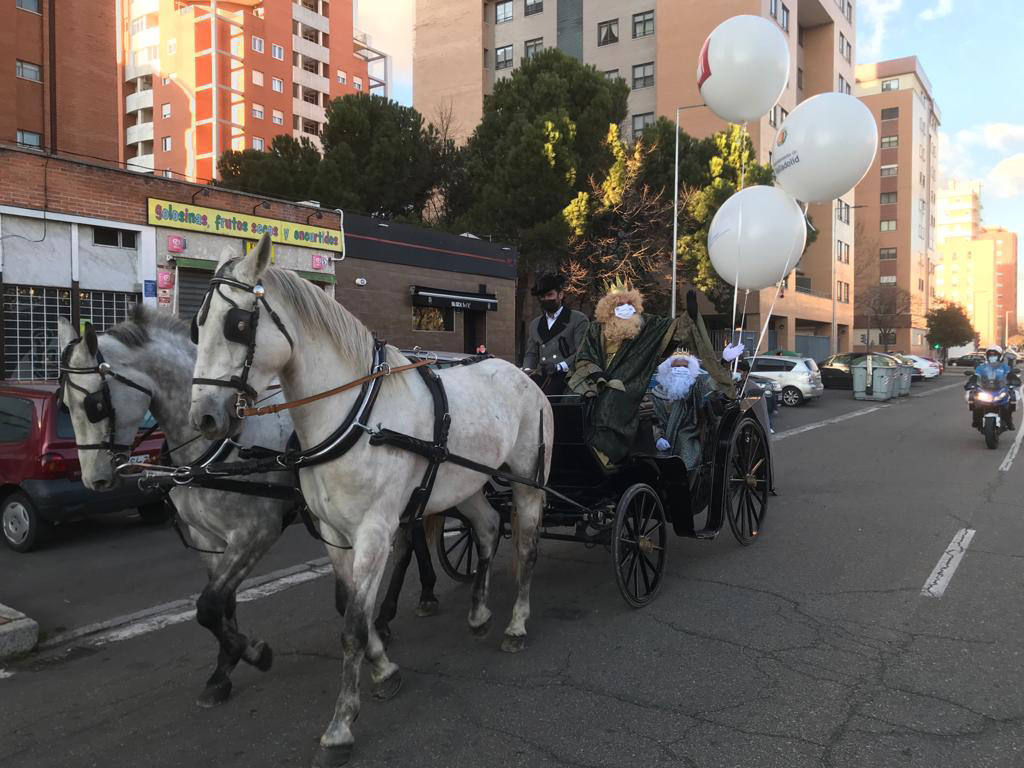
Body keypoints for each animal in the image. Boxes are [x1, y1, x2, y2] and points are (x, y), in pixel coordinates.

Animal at [57, 309, 296, 708]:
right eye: (64, 404)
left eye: (96, 406)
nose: (94, 481)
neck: (220, 445)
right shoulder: (208, 538)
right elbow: (222, 605)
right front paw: (226, 667)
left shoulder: (256, 533)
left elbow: (208, 606)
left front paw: (251, 652)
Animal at [187, 237, 548, 765]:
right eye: (198, 323)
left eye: (237, 325)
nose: (205, 418)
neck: (355, 415)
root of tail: (521, 373)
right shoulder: (335, 535)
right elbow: (349, 608)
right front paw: (384, 669)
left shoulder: (375, 531)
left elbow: (354, 625)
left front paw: (340, 726)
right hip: (465, 484)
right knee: (485, 529)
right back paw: (480, 613)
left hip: (526, 482)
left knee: (525, 547)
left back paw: (517, 625)